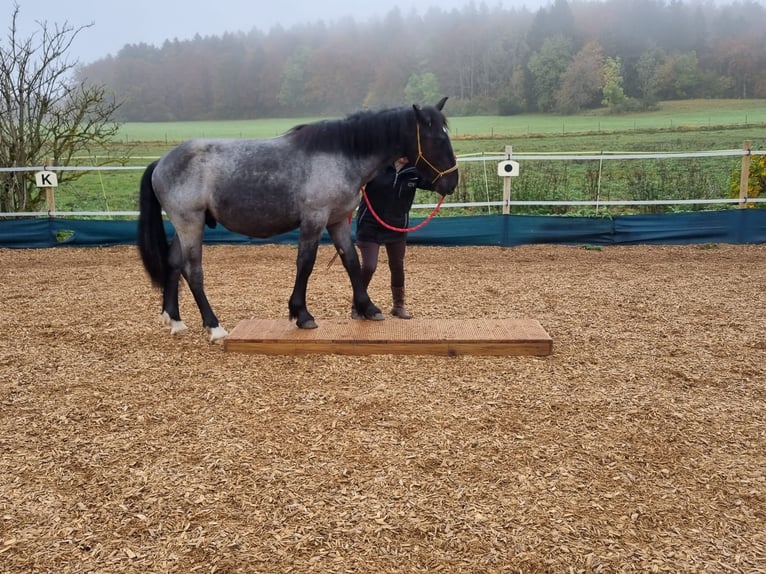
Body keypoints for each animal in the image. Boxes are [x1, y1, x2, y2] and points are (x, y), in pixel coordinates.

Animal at [138, 98, 460, 342]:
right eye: (438, 138)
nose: (452, 182)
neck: (341, 155)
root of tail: (161, 162)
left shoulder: (338, 220)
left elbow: (351, 261)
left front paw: (367, 308)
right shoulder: (314, 219)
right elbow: (306, 263)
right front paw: (301, 314)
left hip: (185, 225)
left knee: (174, 263)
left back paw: (175, 320)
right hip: (190, 223)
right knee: (193, 271)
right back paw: (214, 326)